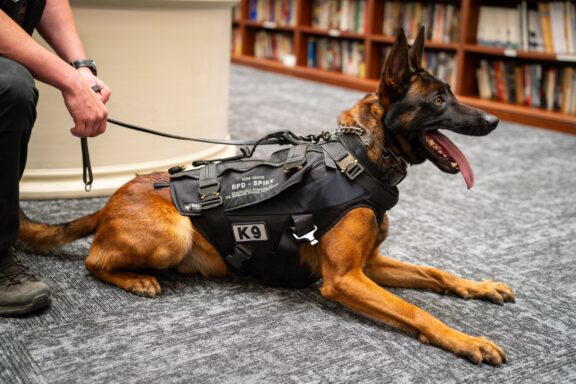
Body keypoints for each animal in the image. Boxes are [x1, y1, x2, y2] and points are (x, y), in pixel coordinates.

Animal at [20, 28, 512, 364]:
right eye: (438, 100)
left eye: (451, 94)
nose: (494, 121)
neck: (358, 156)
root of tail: (113, 198)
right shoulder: (345, 279)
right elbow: (416, 311)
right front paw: (466, 340)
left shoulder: (368, 265)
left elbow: (435, 273)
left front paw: (478, 286)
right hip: (174, 235)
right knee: (93, 261)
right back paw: (136, 279)